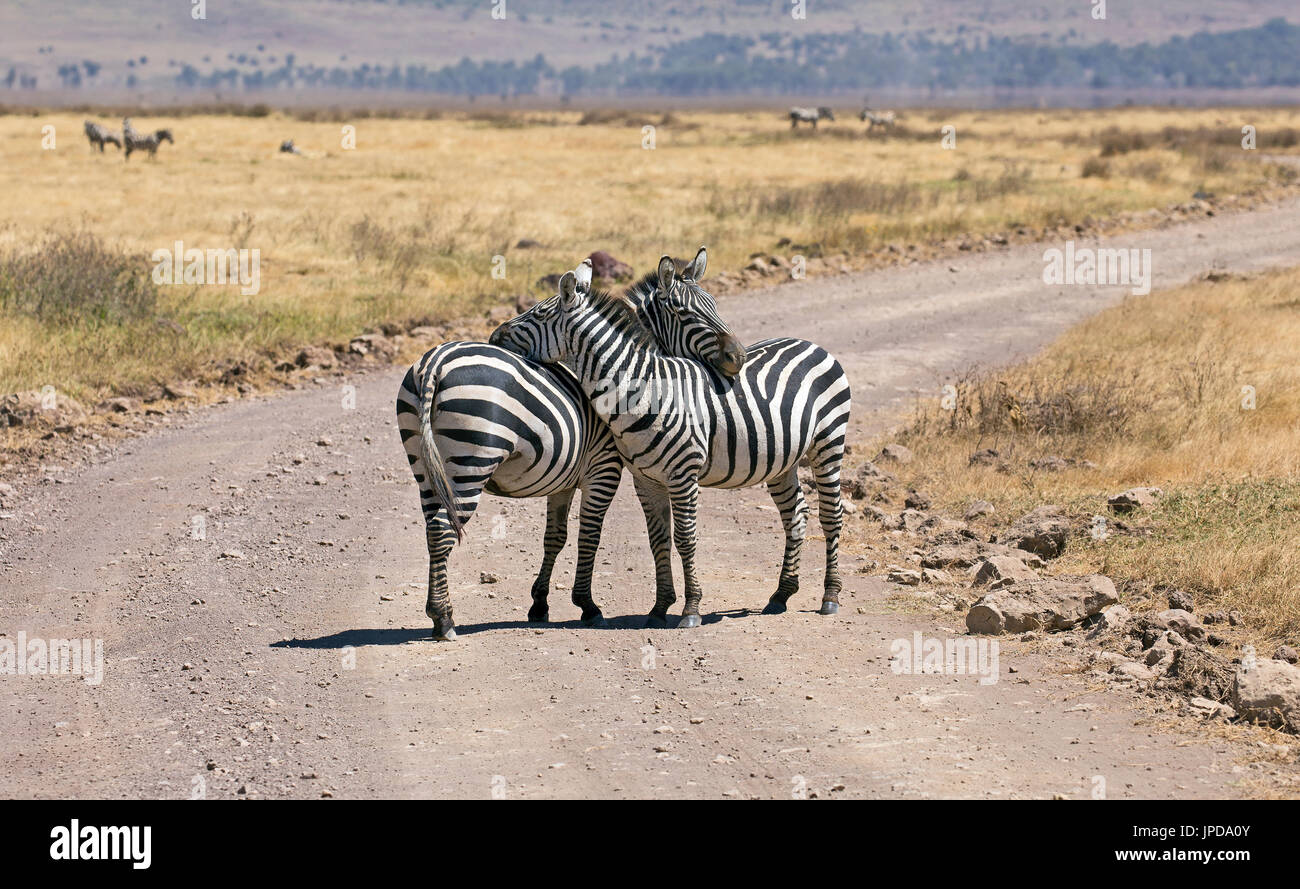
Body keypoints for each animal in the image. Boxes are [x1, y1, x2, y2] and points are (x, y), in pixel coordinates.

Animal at [488, 246, 852, 629]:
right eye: (683, 311)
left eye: (538, 313)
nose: (494, 335)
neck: (646, 388)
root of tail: (811, 344)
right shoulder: (645, 479)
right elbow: (658, 539)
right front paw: (660, 607)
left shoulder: (680, 475)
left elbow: (686, 538)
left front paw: (691, 609)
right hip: (783, 461)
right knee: (795, 514)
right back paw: (781, 594)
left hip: (829, 444)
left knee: (832, 514)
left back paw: (830, 596)